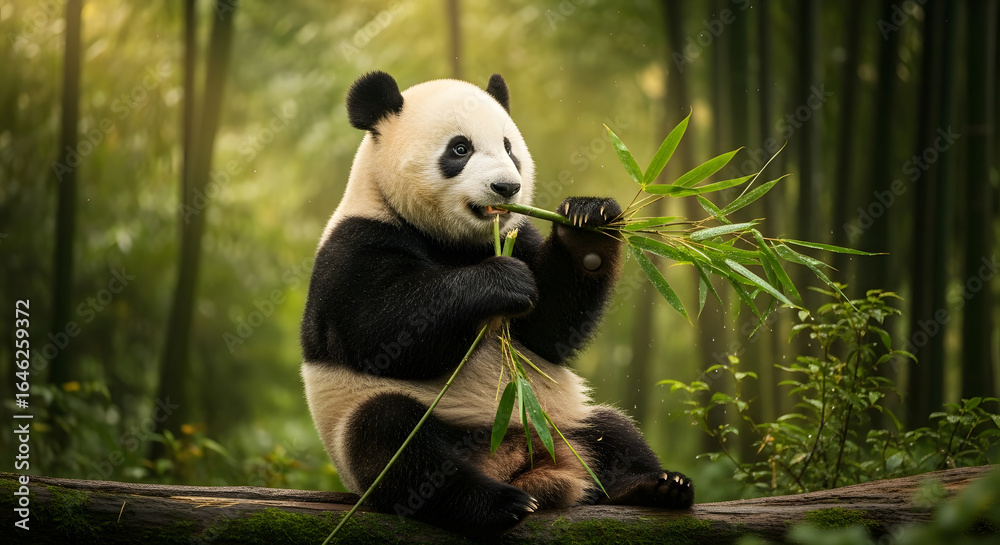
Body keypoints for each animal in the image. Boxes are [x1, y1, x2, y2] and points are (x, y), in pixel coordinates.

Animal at [300, 71, 694, 535]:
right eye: (460, 148)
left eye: (509, 148)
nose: (507, 188)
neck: (454, 241)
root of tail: (523, 463)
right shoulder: (355, 246)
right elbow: (381, 333)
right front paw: (501, 281)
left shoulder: (518, 234)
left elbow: (548, 333)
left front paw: (588, 221)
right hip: (382, 424)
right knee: (393, 442)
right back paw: (496, 503)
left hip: (560, 418)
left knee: (613, 430)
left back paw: (657, 485)